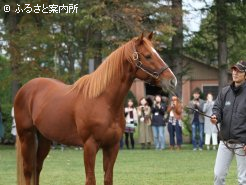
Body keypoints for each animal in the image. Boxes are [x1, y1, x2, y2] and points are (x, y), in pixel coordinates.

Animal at [13, 33, 177, 185]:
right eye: (148, 56)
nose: (172, 80)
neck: (103, 101)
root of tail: (25, 89)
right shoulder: (89, 146)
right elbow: (91, 179)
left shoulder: (112, 147)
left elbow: (108, 178)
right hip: (27, 136)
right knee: (28, 170)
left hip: (44, 138)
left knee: (37, 167)